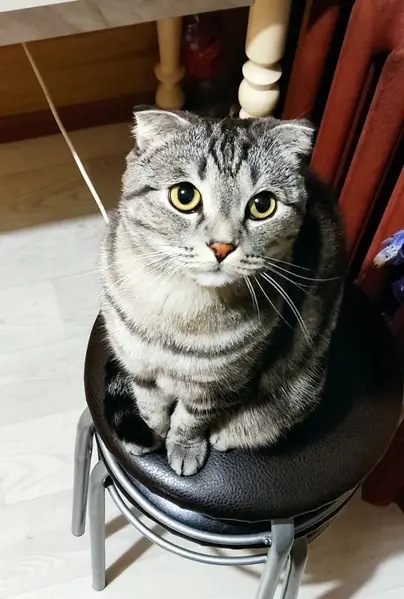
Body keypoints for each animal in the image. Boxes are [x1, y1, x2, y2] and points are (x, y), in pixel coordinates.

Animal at [99, 109, 346, 476]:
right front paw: (152, 430)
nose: (222, 246)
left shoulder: (218, 388)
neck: (177, 311)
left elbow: (191, 421)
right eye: (184, 196)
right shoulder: (138, 366)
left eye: (262, 204)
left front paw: (184, 447)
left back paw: (226, 435)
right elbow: (149, 403)